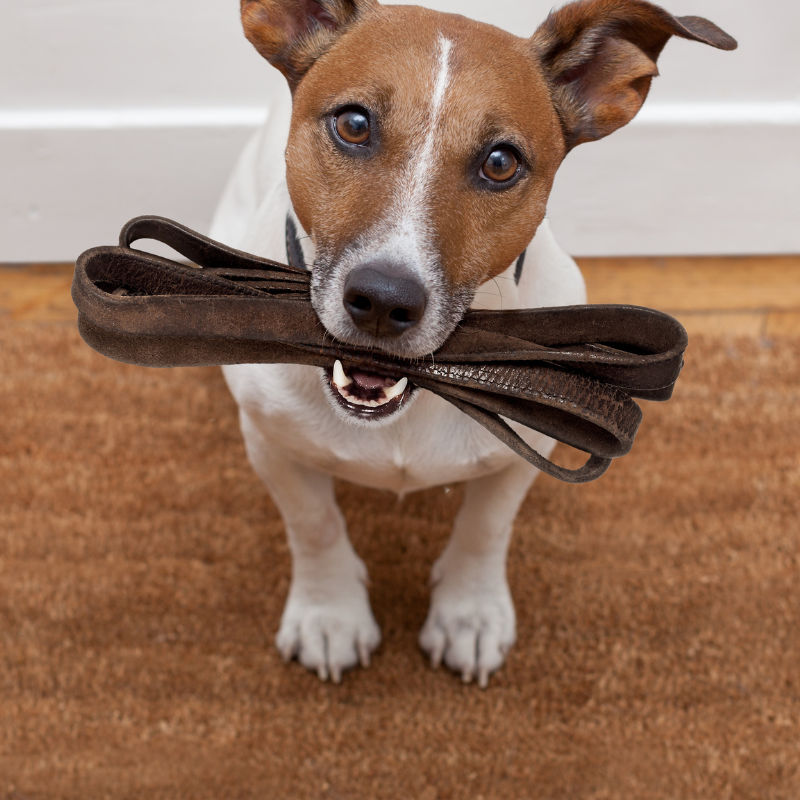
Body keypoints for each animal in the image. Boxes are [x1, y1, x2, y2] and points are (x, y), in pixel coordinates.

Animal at [209, 0, 736, 688]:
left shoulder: (525, 452)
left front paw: (470, 613)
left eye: (501, 162)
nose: (384, 299)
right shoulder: (271, 442)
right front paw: (330, 614)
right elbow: (314, 523)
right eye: (354, 124)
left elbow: (486, 528)